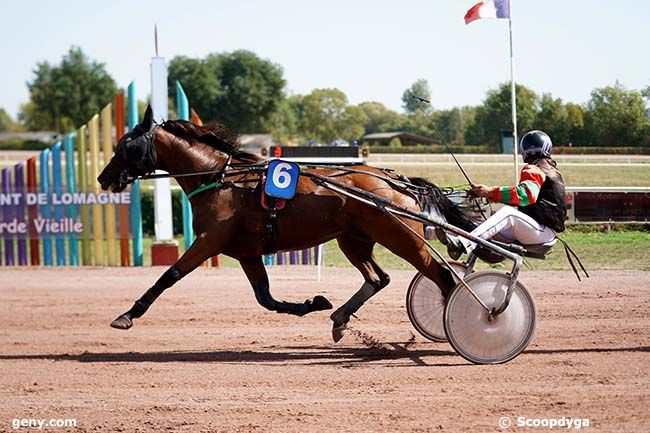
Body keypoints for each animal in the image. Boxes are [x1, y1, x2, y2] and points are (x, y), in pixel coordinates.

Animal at [97, 105, 476, 340]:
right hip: (354, 239)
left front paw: (127, 315)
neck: (221, 179)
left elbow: (169, 275)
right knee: (377, 278)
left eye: (127, 146)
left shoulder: (209, 240)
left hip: (401, 238)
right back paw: (339, 318)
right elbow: (265, 298)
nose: (104, 178)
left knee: (442, 277)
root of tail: (397, 181)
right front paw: (314, 303)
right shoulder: (246, 252)